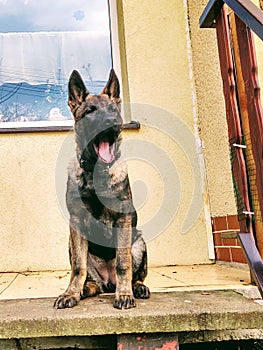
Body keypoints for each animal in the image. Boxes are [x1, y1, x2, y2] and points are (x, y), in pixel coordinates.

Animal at [55, 69, 151, 308]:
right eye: (90, 111)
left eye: (113, 110)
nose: (110, 122)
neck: (96, 173)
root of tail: (108, 282)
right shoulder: (76, 222)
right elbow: (77, 267)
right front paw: (70, 294)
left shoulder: (123, 220)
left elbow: (123, 263)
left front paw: (124, 295)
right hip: (72, 244)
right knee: (88, 279)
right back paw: (83, 290)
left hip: (139, 242)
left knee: (135, 274)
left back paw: (136, 288)